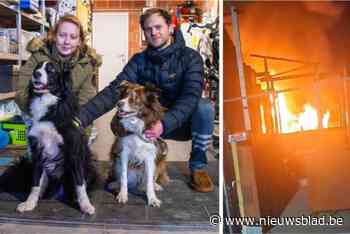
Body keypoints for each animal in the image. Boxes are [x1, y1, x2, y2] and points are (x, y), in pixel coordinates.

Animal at [16, 61, 97, 215]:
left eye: (51, 70)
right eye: (37, 67)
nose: (36, 74)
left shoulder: (74, 153)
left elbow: (80, 184)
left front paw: (86, 205)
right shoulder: (37, 151)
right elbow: (35, 182)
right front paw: (30, 203)